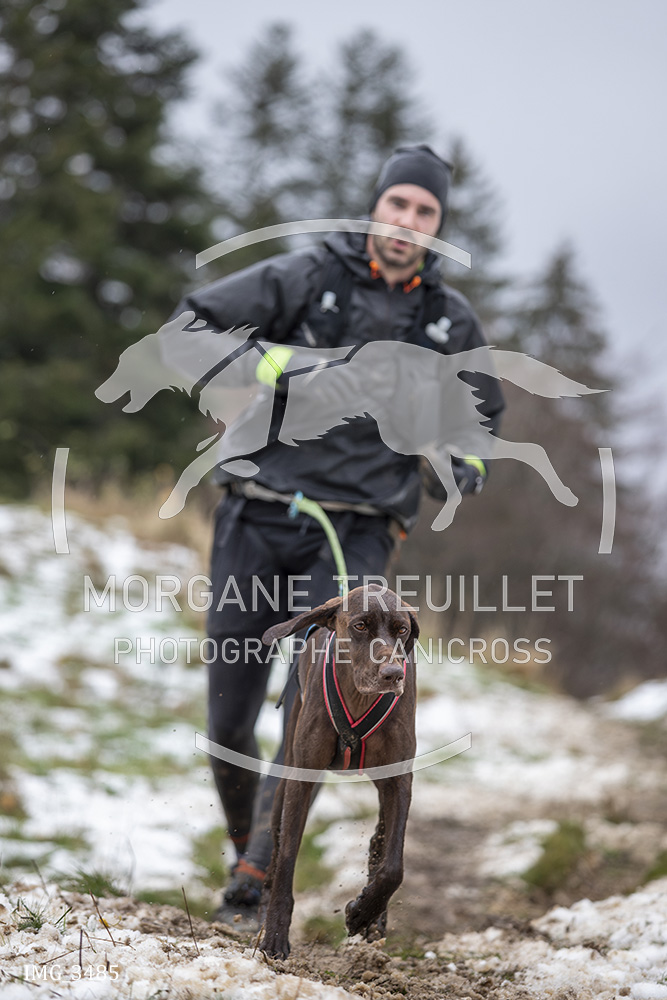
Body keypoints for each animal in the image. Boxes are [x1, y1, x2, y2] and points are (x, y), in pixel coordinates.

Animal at [258, 584, 419, 960]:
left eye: (402, 629)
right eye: (360, 626)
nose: (393, 675)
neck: (359, 697)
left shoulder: (400, 779)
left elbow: (394, 867)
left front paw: (362, 913)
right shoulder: (301, 778)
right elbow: (288, 856)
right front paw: (276, 933)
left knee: (381, 840)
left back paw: (374, 917)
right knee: (277, 840)